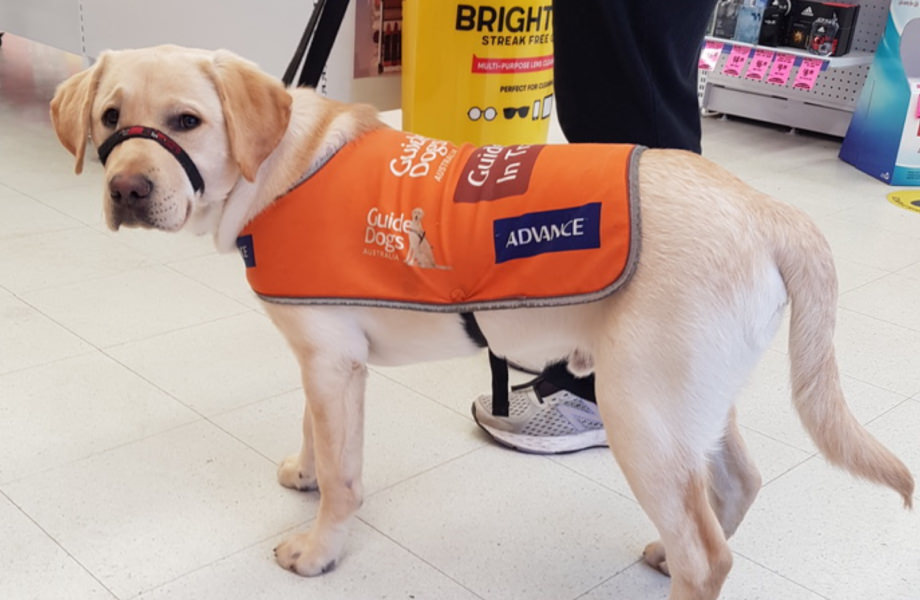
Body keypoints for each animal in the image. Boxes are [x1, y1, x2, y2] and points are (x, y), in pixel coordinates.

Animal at [50, 47, 912, 600]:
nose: (127, 189)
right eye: (110, 118)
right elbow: (315, 435)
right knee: (735, 489)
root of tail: (768, 207)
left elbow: (346, 476)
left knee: (711, 557)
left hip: (640, 408)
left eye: (187, 121)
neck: (282, 168)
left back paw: (685, 561)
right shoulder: (322, 358)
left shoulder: (332, 361)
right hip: (686, 401)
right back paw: (666, 552)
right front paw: (304, 470)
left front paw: (320, 547)